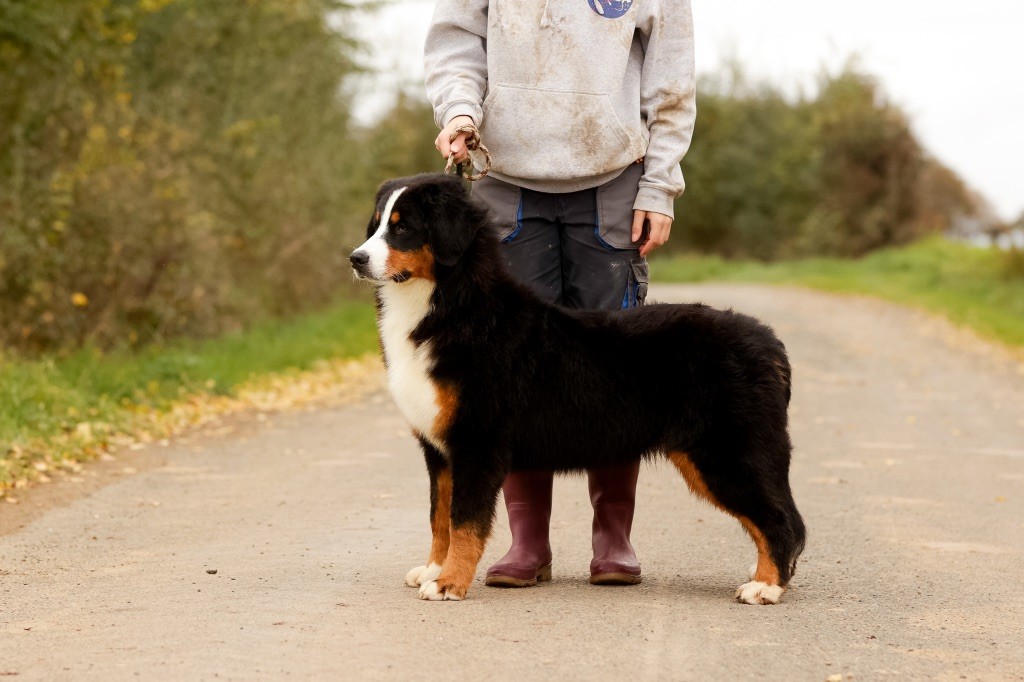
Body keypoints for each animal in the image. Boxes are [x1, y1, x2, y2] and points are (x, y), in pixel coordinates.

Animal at [352, 173, 806, 602]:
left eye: (403, 227)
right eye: (377, 224)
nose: (356, 258)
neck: (450, 306)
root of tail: (768, 340)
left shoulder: (477, 442)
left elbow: (464, 520)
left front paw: (449, 583)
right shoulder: (440, 449)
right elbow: (439, 517)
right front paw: (432, 569)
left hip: (727, 453)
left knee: (782, 520)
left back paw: (766, 586)